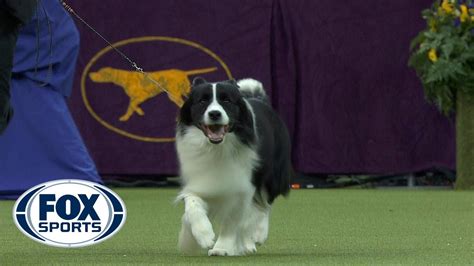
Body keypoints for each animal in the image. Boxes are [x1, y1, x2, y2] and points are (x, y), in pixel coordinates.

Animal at [175, 77, 290, 256]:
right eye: (202, 101)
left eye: (227, 100)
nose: (214, 114)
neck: (217, 148)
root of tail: (260, 100)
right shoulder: (200, 179)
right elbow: (192, 203)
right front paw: (199, 237)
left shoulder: (241, 187)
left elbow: (231, 220)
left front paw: (222, 247)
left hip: (274, 174)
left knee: (265, 204)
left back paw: (258, 234)